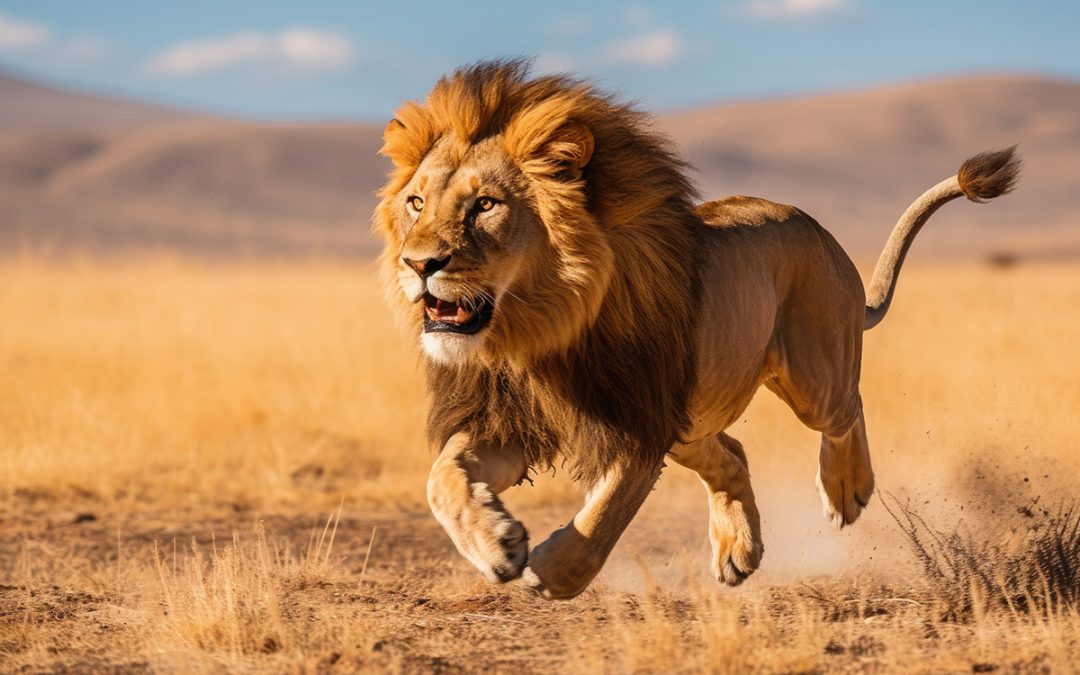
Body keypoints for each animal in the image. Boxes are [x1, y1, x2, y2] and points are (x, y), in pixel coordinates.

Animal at [373, 60, 1020, 599]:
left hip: (811, 377)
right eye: (416, 203)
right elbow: (442, 478)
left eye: (484, 205)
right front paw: (498, 544)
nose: (418, 264)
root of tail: (820, 231)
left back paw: (845, 491)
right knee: (731, 452)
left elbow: (605, 513)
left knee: (846, 410)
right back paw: (739, 552)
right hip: (691, 416)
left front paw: (554, 572)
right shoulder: (512, 418)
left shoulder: (637, 420)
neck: (536, 333)